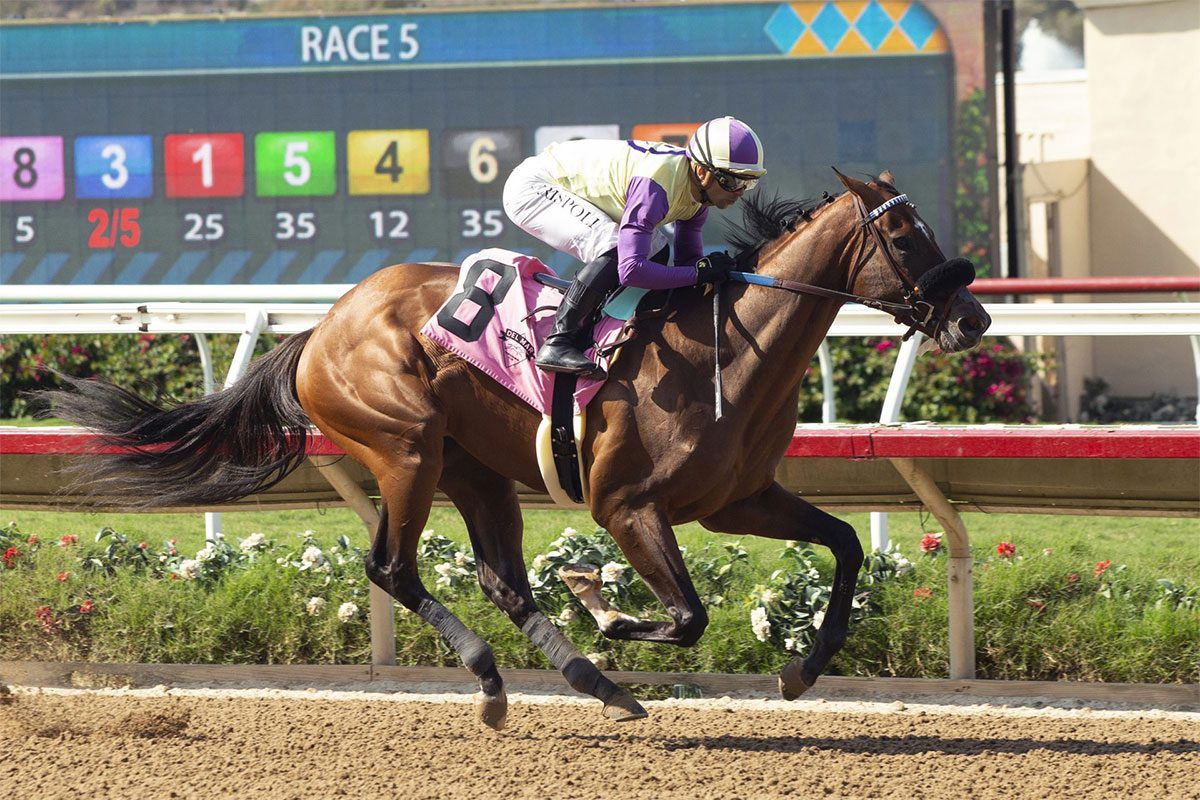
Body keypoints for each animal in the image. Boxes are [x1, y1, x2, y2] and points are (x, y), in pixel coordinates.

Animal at [46, 170, 988, 734]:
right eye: (907, 238)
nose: (973, 318)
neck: (733, 347)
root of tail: (324, 325)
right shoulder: (627, 506)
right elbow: (687, 615)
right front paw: (601, 602)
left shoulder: (736, 500)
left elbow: (847, 544)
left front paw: (803, 670)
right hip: (407, 449)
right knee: (392, 569)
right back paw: (498, 681)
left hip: (476, 468)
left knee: (501, 580)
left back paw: (596, 685)